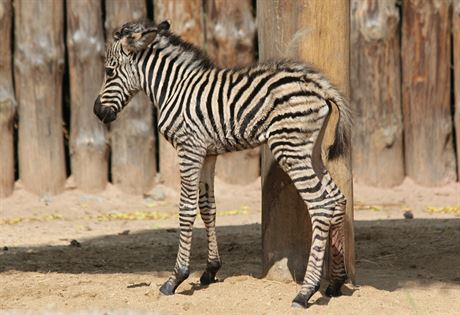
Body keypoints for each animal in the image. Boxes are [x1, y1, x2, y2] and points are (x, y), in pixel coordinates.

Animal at [94, 19, 352, 308]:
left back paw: (306, 291)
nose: (97, 112)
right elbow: (207, 207)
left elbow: (185, 209)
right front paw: (210, 269)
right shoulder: (208, 153)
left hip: (290, 147)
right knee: (337, 199)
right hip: (312, 150)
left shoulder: (189, 148)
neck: (174, 89)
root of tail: (318, 85)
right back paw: (336, 282)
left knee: (321, 205)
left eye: (109, 71)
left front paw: (176, 278)